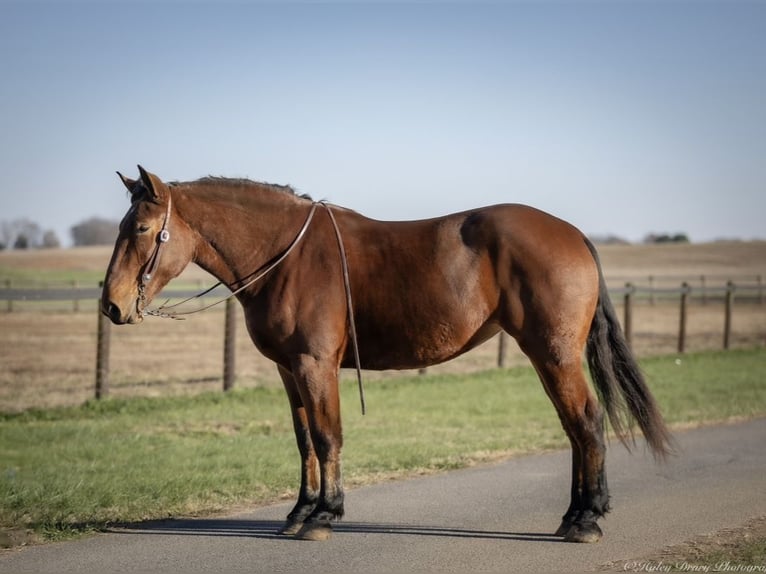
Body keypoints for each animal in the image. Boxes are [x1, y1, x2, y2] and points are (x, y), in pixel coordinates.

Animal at [100, 165, 672, 544]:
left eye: (142, 229)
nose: (112, 304)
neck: (286, 257)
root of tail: (573, 234)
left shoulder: (315, 365)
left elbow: (327, 436)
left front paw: (324, 515)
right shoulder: (289, 370)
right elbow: (304, 441)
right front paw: (299, 512)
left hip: (553, 354)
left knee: (587, 423)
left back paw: (586, 519)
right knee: (575, 429)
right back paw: (574, 515)